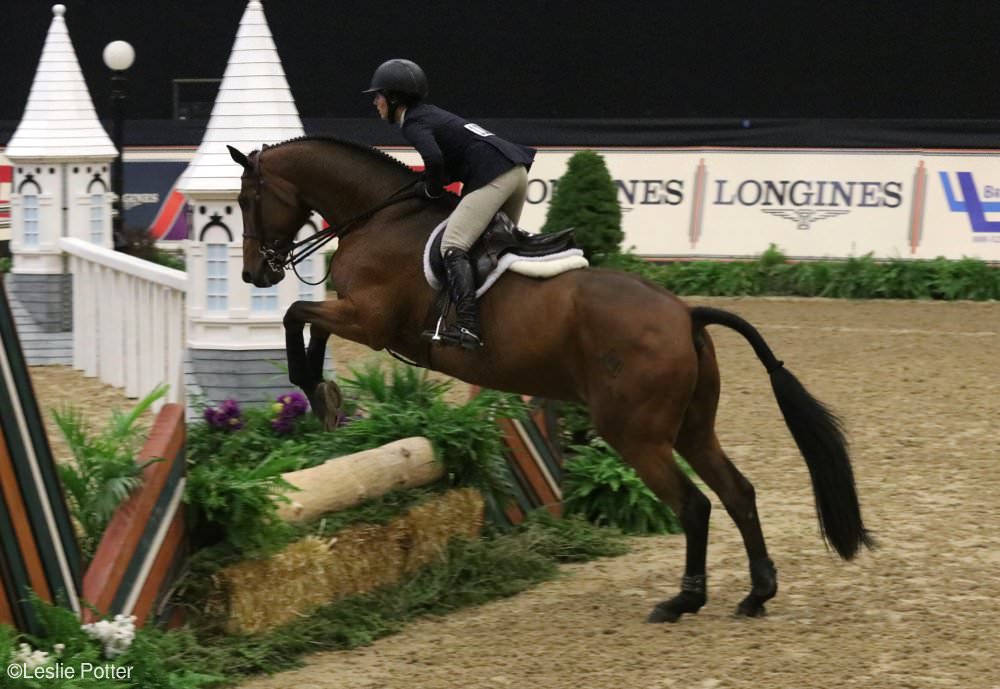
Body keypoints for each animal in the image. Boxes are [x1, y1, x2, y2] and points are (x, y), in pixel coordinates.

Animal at [230, 137, 872, 620]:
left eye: (247, 199)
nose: (255, 273)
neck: (381, 215)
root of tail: (686, 314)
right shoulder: (358, 316)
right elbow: (307, 324)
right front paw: (328, 399)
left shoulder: (368, 318)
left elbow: (299, 317)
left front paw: (318, 392)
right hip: (691, 428)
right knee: (737, 492)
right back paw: (757, 593)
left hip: (636, 434)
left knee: (693, 504)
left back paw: (682, 602)